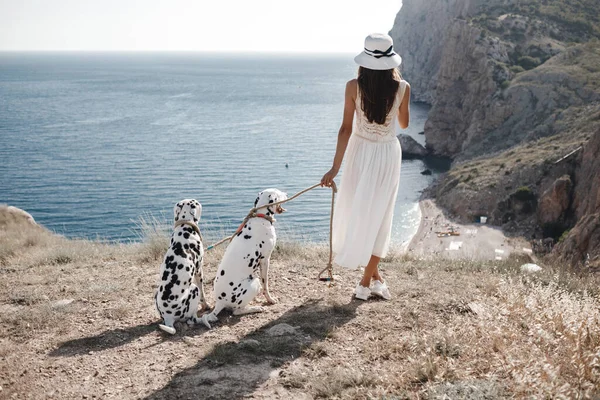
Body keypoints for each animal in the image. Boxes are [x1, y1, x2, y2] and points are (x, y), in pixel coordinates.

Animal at [154, 198, 207, 332]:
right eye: (196, 203)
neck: (185, 227)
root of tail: (168, 317)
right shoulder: (199, 271)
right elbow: (204, 295)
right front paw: (207, 305)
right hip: (194, 289)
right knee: (192, 320)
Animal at [200, 188, 288, 328]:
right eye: (279, 193)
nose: (287, 193)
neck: (260, 218)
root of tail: (220, 302)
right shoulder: (265, 260)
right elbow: (266, 285)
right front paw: (270, 299)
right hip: (254, 282)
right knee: (237, 311)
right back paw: (255, 308)